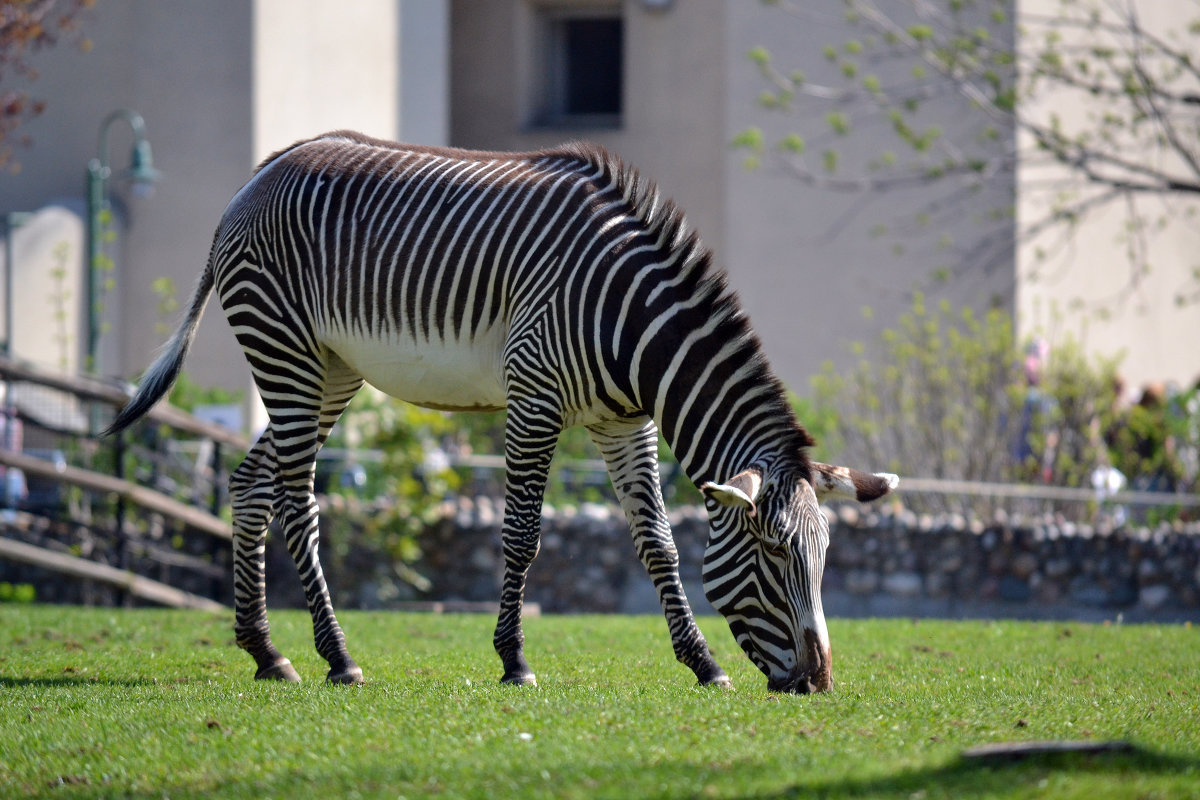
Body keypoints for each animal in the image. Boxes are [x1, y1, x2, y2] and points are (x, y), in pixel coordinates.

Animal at [105, 128, 902, 690]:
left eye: (824, 557)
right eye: (773, 554)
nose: (819, 684)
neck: (633, 324)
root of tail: (261, 171)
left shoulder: (623, 421)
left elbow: (658, 542)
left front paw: (703, 663)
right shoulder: (534, 397)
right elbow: (521, 535)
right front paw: (514, 660)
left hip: (330, 371)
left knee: (250, 485)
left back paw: (266, 651)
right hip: (285, 349)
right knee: (296, 501)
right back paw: (337, 656)